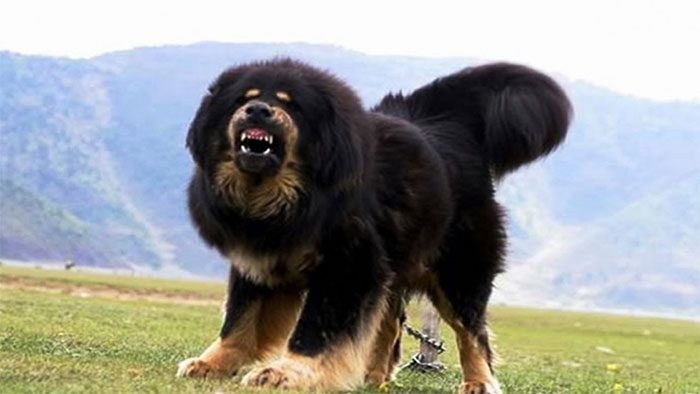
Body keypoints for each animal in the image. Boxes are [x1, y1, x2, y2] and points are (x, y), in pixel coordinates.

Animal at [178, 57, 572, 392]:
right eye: (243, 99)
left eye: (291, 105)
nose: (258, 110)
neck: (287, 198)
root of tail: (446, 124)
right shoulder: (258, 259)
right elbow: (240, 319)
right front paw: (213, 363)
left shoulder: (347, 265)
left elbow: (315, 327)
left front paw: (288, 371)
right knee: (390, 319)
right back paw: (374, 375)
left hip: (456, 269)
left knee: (471, 331)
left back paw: (478, 381)